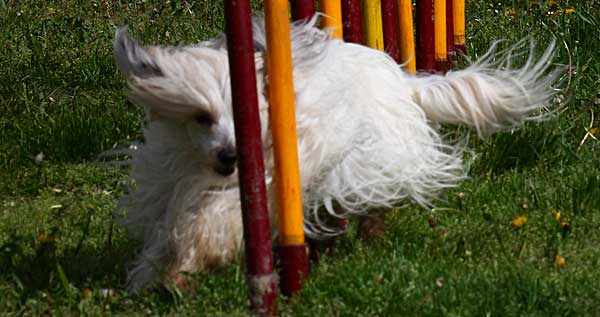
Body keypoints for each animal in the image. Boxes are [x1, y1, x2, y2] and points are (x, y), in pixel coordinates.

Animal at [112, 17, 564, 292]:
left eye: (246, 114)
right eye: (201, 117)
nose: (230, 156)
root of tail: (400, 77)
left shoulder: (269, 179)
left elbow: (211, 223)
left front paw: (189, 261)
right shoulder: (171, 177)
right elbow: (166, 230)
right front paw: (155, 275)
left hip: (371, 155)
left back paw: (370, 229)